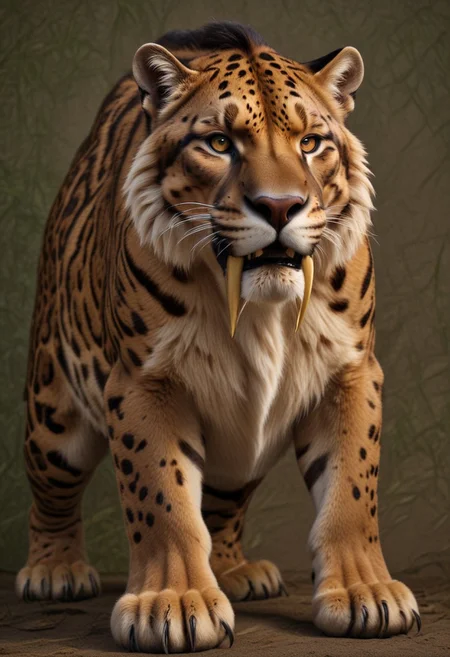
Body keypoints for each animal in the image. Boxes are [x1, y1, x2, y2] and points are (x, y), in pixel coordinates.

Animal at [16, 20, 421, 653]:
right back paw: (53, 571)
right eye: (220, 144)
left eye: (310, 143)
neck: (258, 308)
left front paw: (365, 592)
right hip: (53, 414)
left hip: (239, 451)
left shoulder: (351, 372)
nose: (280, 206)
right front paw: (174, 602)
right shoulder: (143, 382)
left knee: (223, 503)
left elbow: (352, 493)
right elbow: (161, 498)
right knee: (51, 491)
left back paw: (236, 571)